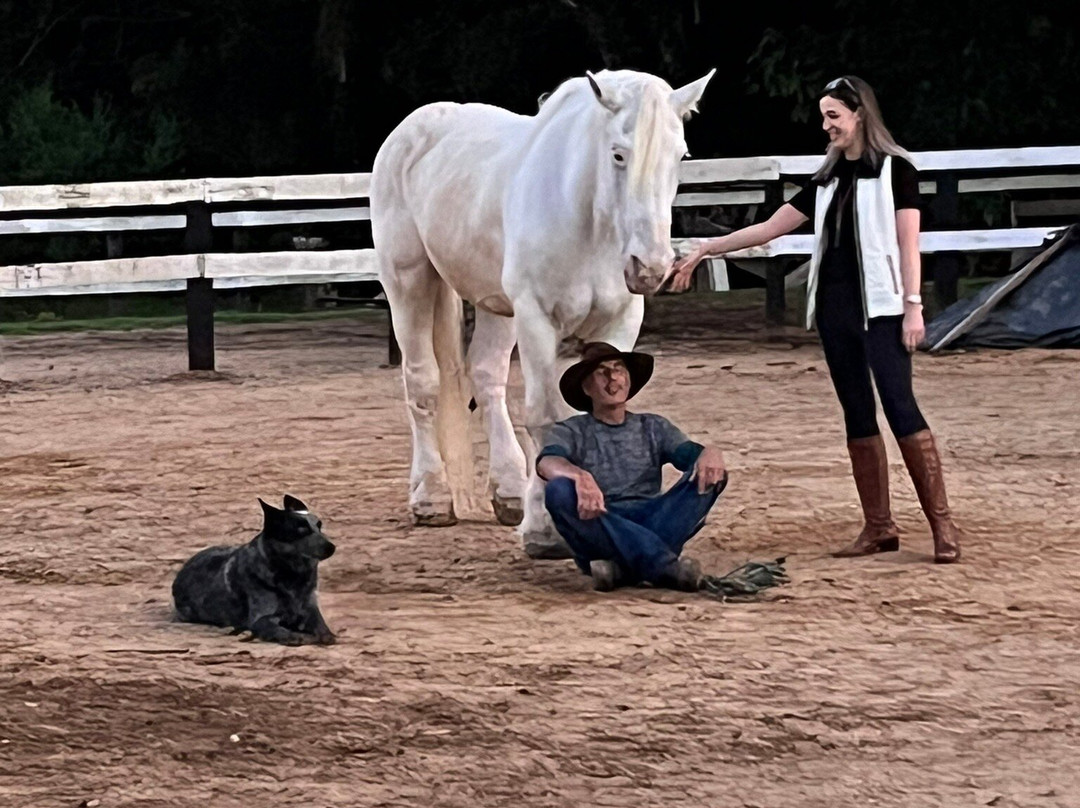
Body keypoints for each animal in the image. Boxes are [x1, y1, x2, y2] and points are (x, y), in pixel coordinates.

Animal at [370, 68, 714, 557]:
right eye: (618, 154)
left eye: (681, 155)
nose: (649, 267)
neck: (588, 220)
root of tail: (411, 131)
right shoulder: (536, 319)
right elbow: (545, 417)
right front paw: (542, 529)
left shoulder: (618, 324)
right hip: (409, 283)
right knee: (423, 383)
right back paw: (431, 497)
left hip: (496, 307)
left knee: (486, 378)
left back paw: (509, 490)